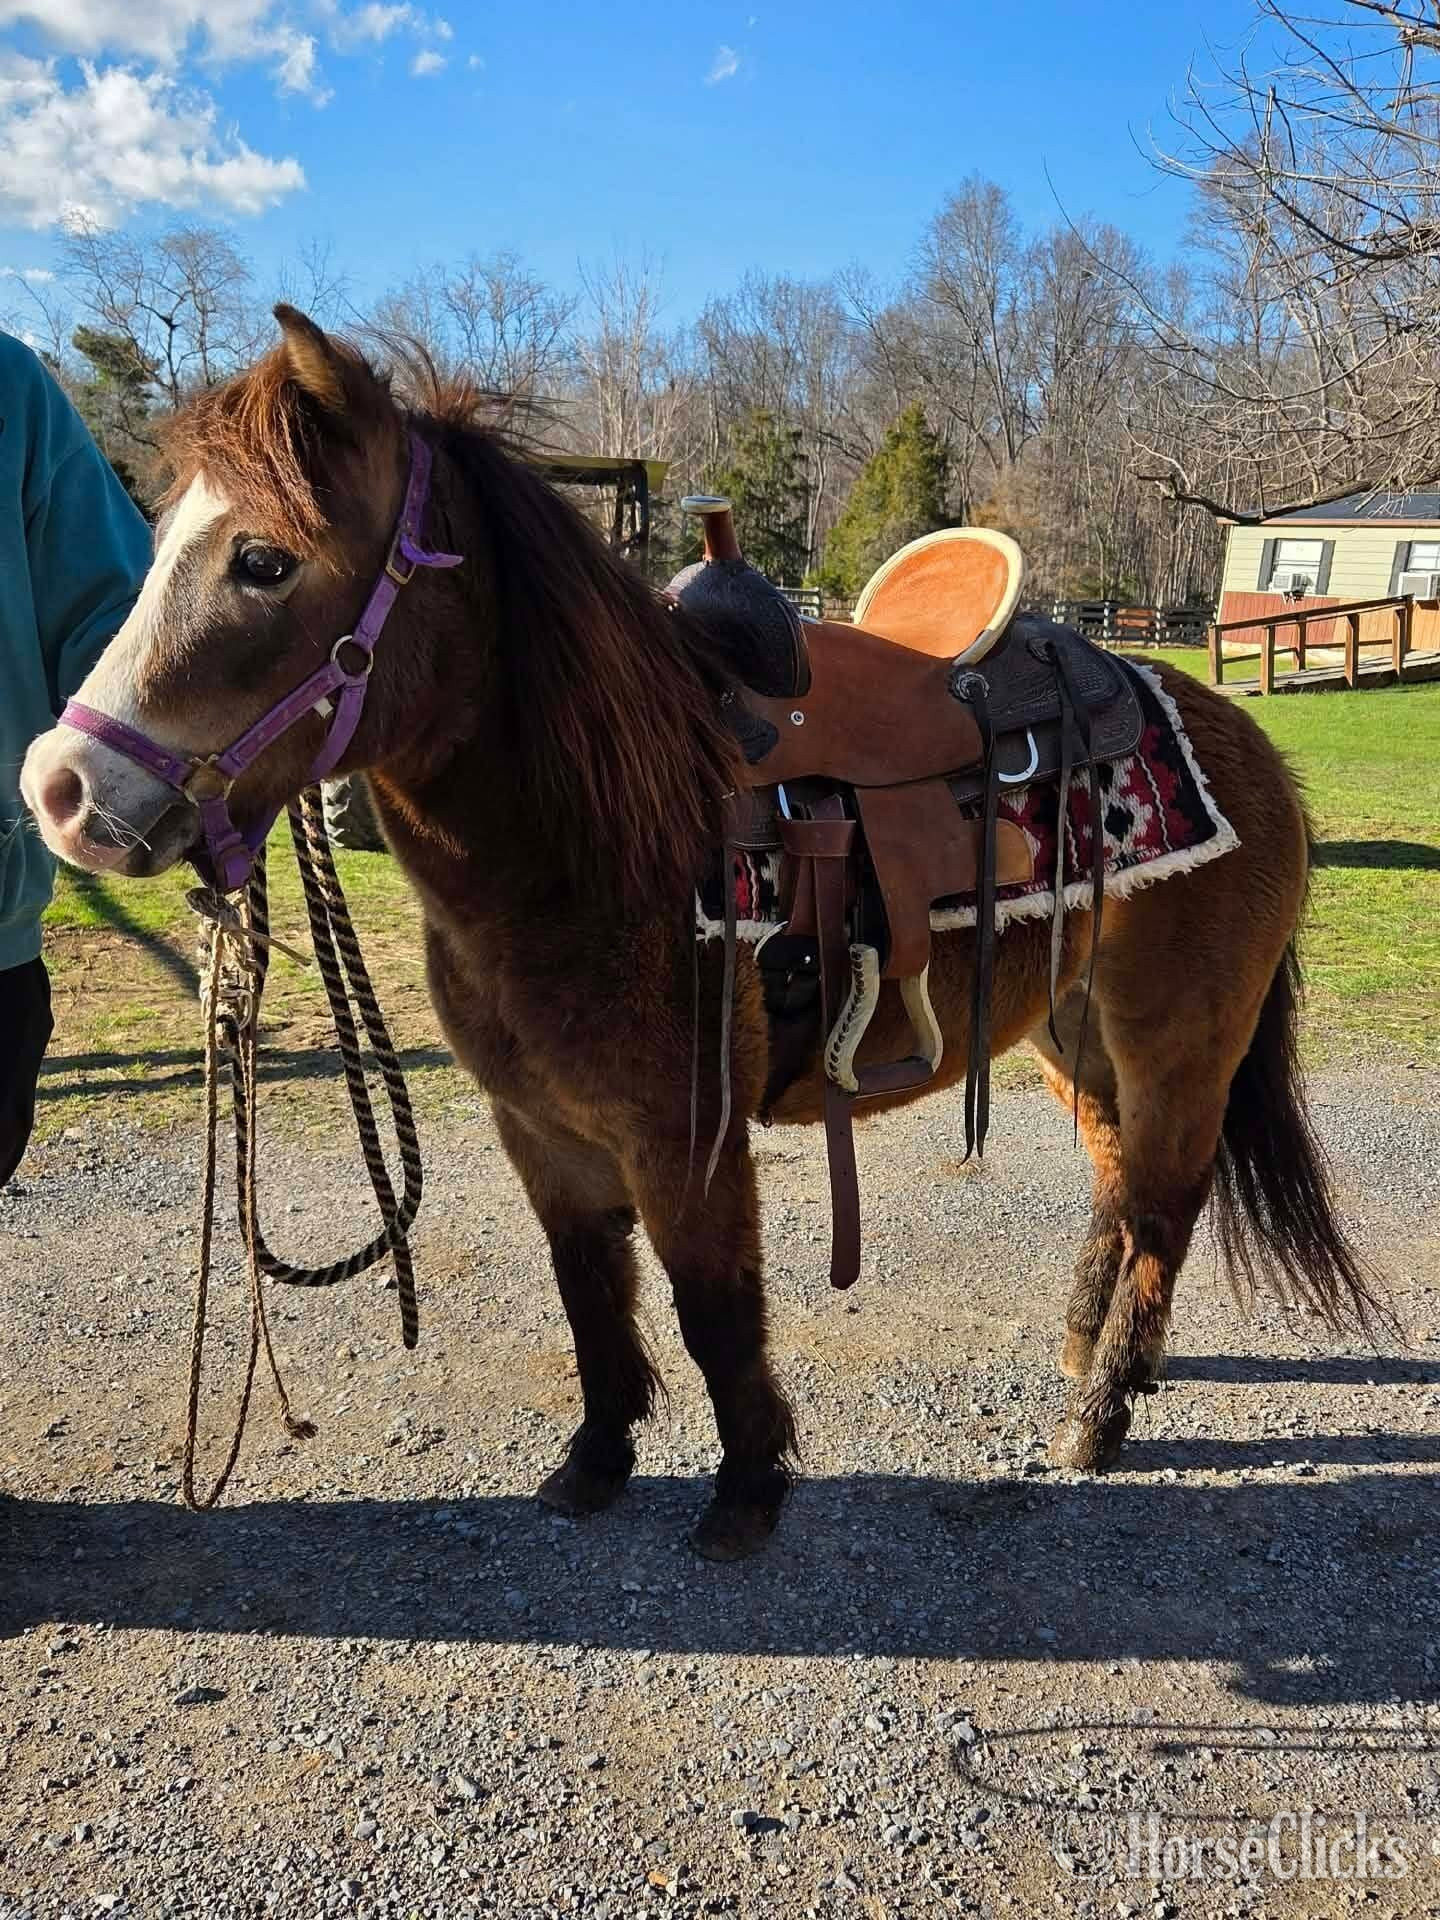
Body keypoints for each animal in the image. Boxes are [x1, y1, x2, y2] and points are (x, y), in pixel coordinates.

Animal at [21, 307, 1383, 1559]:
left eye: (261, 560)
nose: (62, 791)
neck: (597, 835)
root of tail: (1243, 740)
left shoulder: (684, 1134)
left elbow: (712, 1305)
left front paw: (746, 1491)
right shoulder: (542, 1131)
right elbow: (591, 1294)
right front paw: (596, 1459)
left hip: (1178, 1044)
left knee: (1163, 1203)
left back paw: (1100, 1413)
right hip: (1071, 1032)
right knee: (1120, 1181)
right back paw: (1091, 1353)